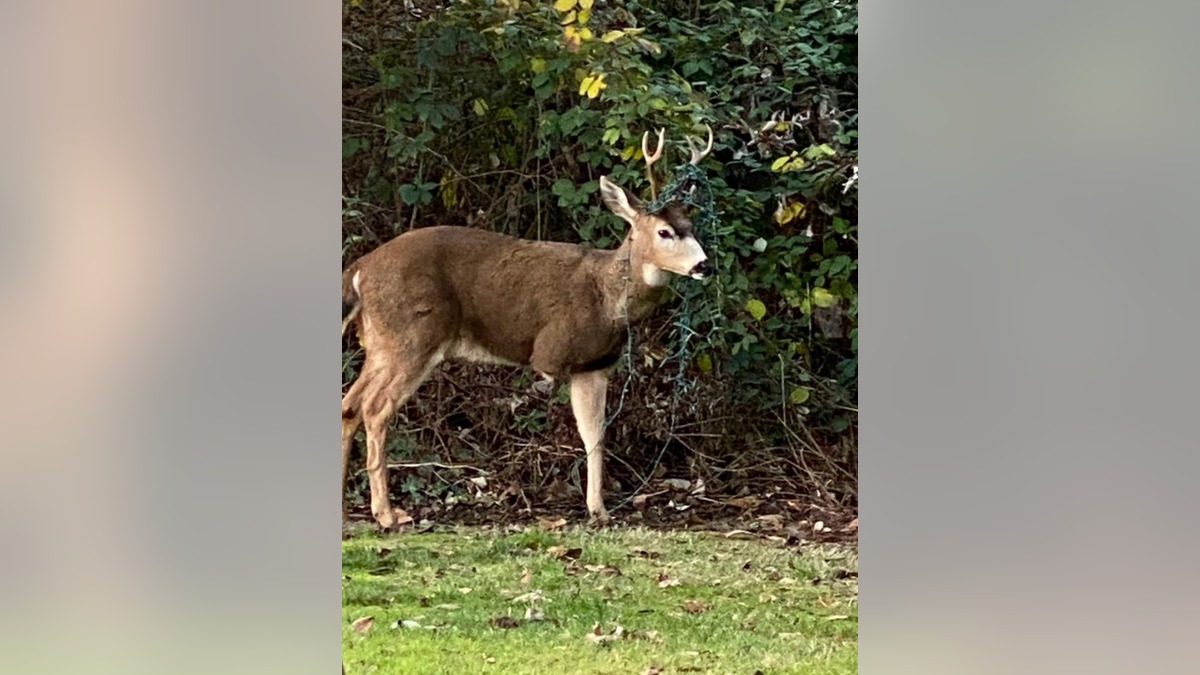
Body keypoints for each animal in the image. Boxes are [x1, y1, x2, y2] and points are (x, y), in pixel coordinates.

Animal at [340, 124, 710, 526]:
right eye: (664, 232)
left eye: (692, 226)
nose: (705, 265)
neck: (608, 297)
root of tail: (359, 270)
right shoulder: (553, 352)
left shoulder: (593, 366)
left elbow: (594, 435)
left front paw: (598, 510)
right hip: (412, 335)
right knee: (375, 408)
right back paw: (387, 514)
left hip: (380, 342)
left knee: (349, 403)